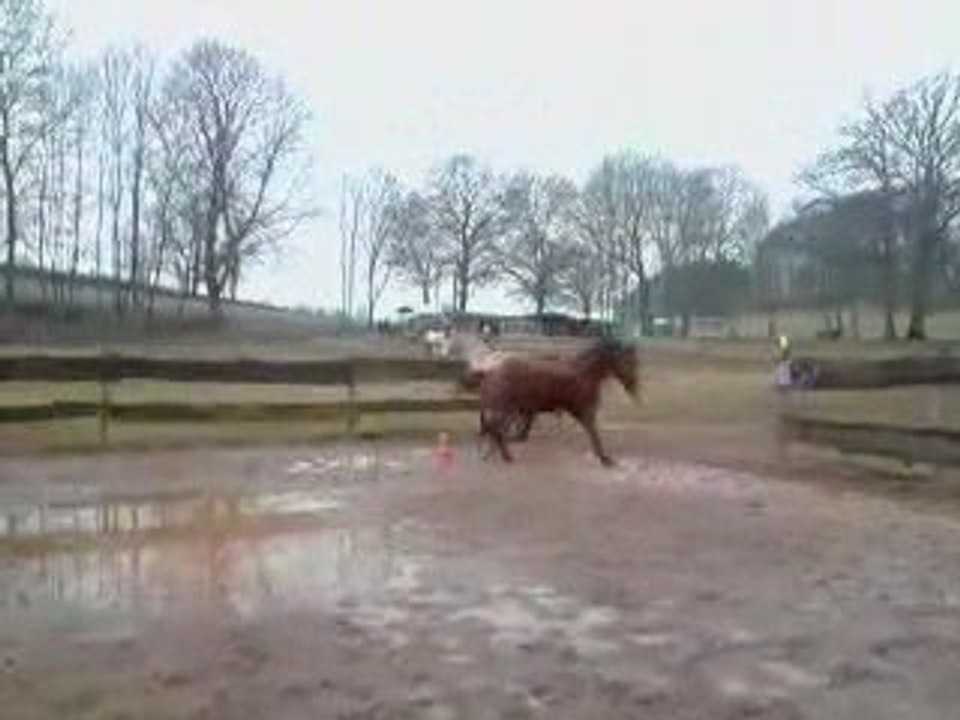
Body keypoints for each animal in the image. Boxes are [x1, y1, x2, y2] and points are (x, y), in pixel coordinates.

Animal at [477, 337, 639, 466]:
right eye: (626, 361)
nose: (633, 386)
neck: (585, 373)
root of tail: (492, 370)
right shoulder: (583, 410)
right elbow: (594, 433)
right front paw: (604, 458)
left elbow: (592, 432)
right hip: (506, 408)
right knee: (496, 429)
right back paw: (505, 456)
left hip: (508, 408)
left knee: (495, 429)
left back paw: (498, 454)